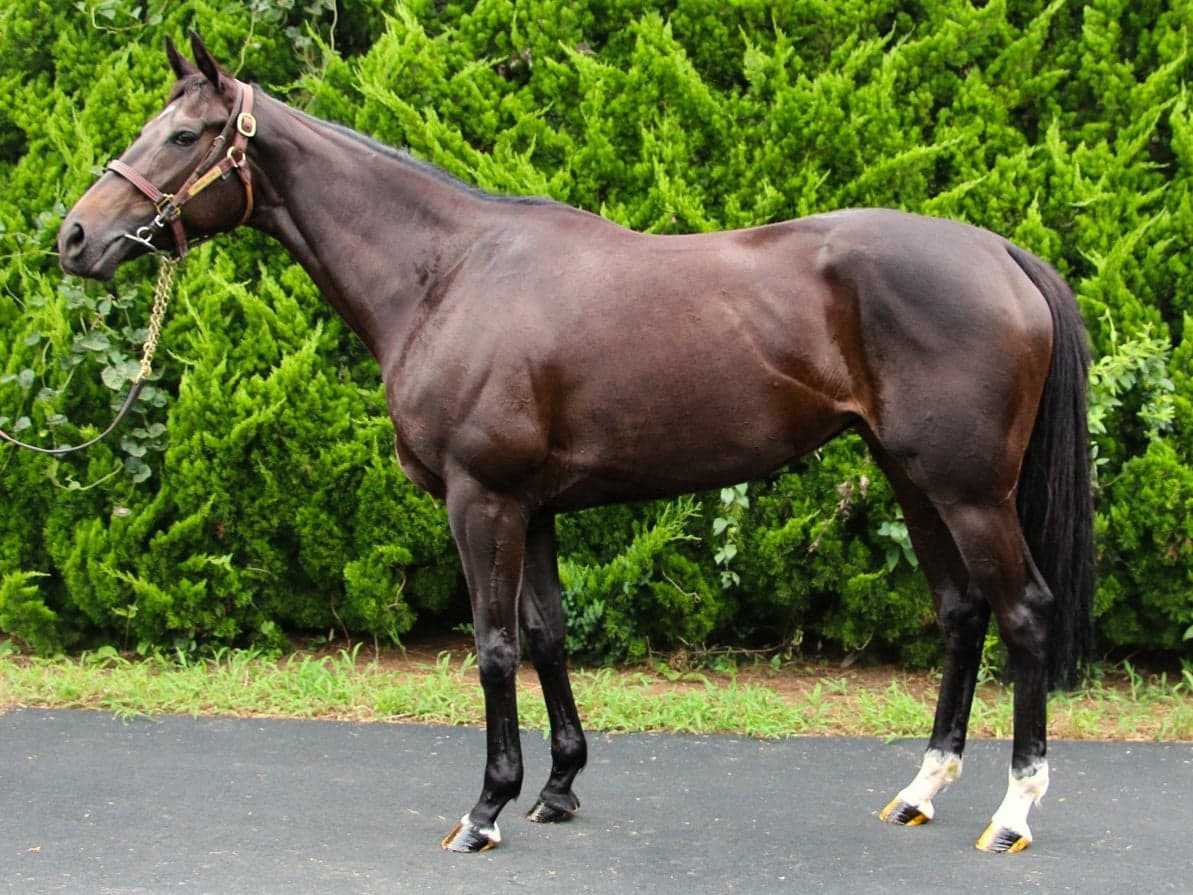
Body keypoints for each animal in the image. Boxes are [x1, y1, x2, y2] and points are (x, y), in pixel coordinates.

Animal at [57, 33, 1094, 856]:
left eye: (183, 134)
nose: (73, 238)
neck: (447, 274)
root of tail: (1000, 254)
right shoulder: (537, 506)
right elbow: (550, 634)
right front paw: (556, 786)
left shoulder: (481, 498)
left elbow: (492, 647)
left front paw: (484, 808)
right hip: (911, 478)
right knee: (961, 611)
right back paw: (920, 790)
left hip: (967, 491)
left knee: (1024, 613)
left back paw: (1012, 811)